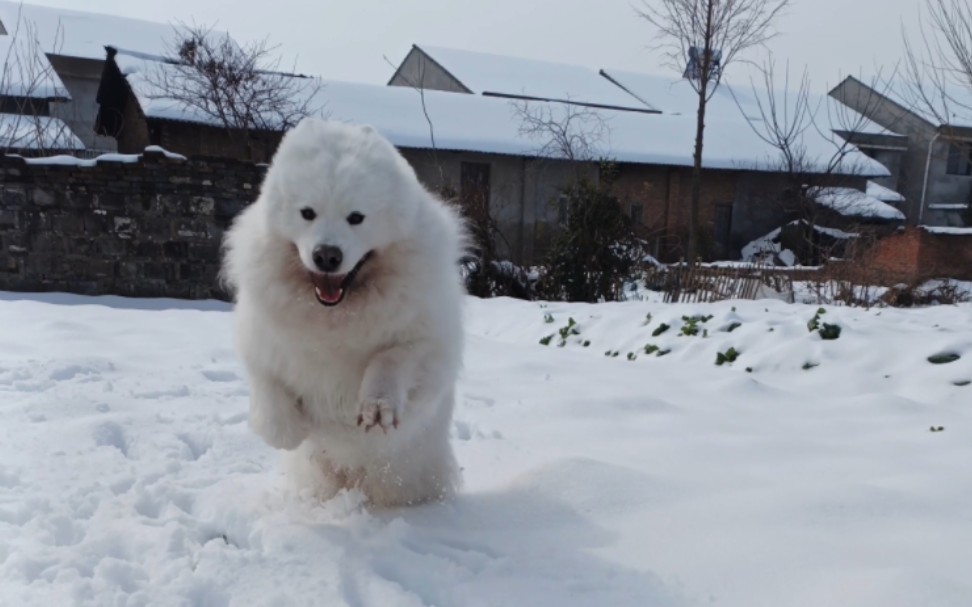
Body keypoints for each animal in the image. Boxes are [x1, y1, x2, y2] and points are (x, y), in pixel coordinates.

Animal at [224, 119, 468, 508]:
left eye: (356, 218)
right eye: (307, 213)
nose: (327, 255)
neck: (336, 316)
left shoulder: (427, 344)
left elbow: (389, 360)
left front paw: (378, 407)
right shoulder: (261, 339)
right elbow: (267, 383)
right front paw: (287, 430)